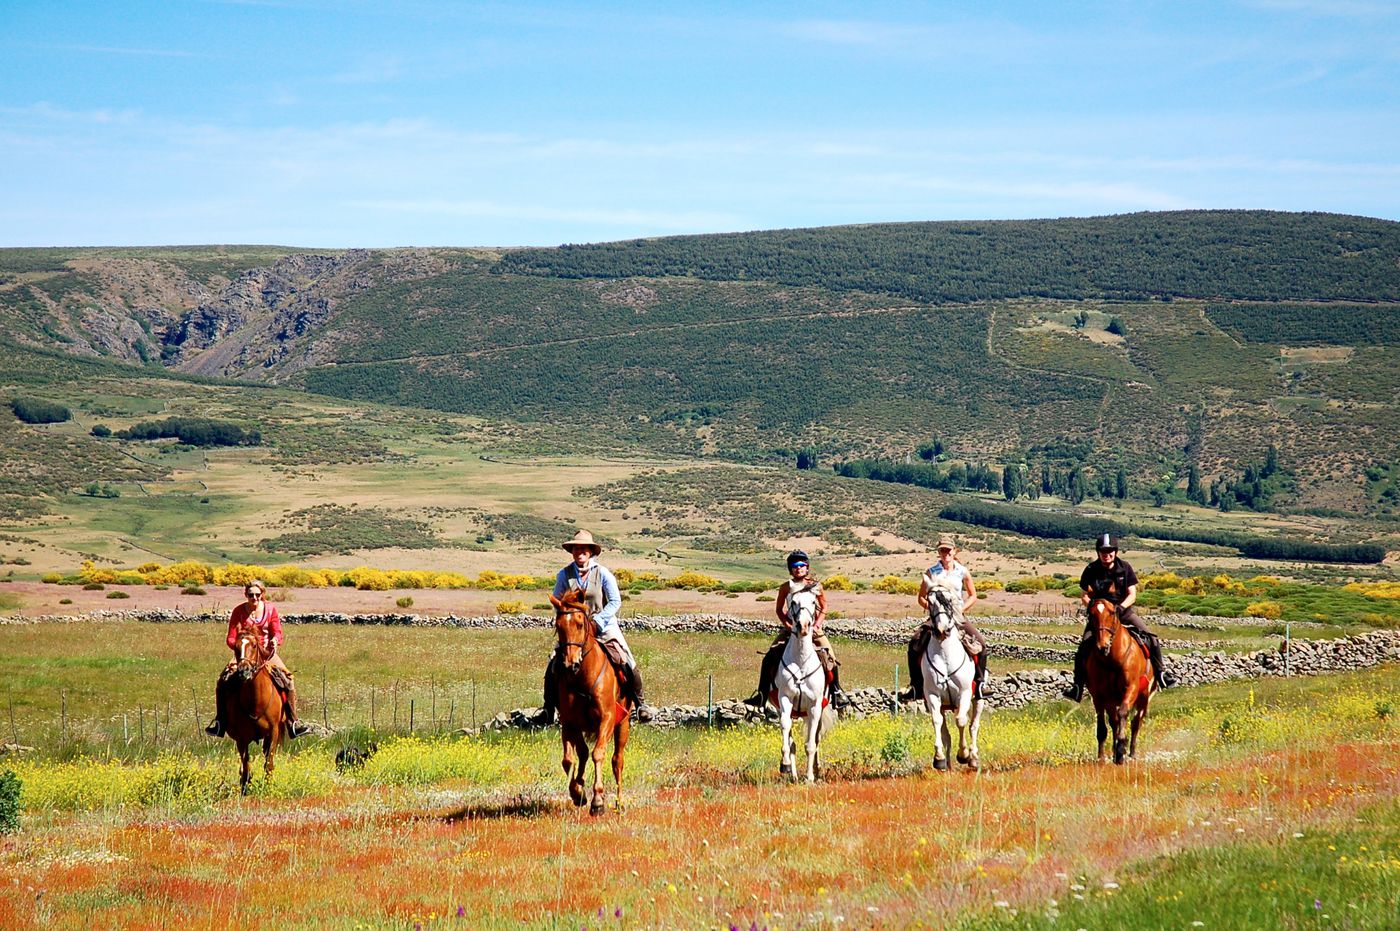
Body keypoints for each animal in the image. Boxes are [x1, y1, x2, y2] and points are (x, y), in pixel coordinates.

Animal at [222, 624, 285, 789]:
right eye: (236, 647)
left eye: (254, 645)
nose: (244, 671)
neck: (256, 702)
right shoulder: (241, 737)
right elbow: (246, 766)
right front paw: (245, 787)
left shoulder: (273, 732)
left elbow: (268, 763)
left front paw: (267, 786)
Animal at [548, 588, 632, 812]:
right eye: (558, 626)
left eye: (580, 623)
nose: (571, 663)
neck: (583, 677)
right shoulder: (570, 723)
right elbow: (569, 759)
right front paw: (578, 793)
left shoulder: (607, 719)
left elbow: (598, 754)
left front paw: (598, 800)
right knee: (583, 754)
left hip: (623, 724)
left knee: (617, 760)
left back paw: (619, 803)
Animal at [772, 588, 834, 778]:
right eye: (793, 602)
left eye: (814, 602)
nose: (804, 626)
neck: (800, 660)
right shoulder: (785, 699)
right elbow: (786, 728)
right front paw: (785, 764)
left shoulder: (814, 705)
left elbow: (811, 744)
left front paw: (810, 777)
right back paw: (792, 775)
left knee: (816, 737)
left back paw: (816, 769)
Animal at [918, 582, 985, 767]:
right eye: (930, 602)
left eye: (949, 601)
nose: (941, 630)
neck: (945, 654)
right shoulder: (932, 695)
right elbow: (937, 722)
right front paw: (939, 758)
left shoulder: (964, 693)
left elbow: (961, 721)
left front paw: (964, 754)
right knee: (946, 732)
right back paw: (947, 763)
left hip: (978, 699)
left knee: (973, 726)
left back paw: (973, 758)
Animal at [1086, 582, 1153, 761]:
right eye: (1091, 614)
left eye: (1112, 612)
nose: (1102, 646)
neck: (1112, 659)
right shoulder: (1100, 695)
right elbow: (1103, 726)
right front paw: (1102, 756)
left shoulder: (1131, 688)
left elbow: (1124, 713)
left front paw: (1122, 746)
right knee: (1114, 722)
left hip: (1143, 696)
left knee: (1136, 722)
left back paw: (1131, 752)